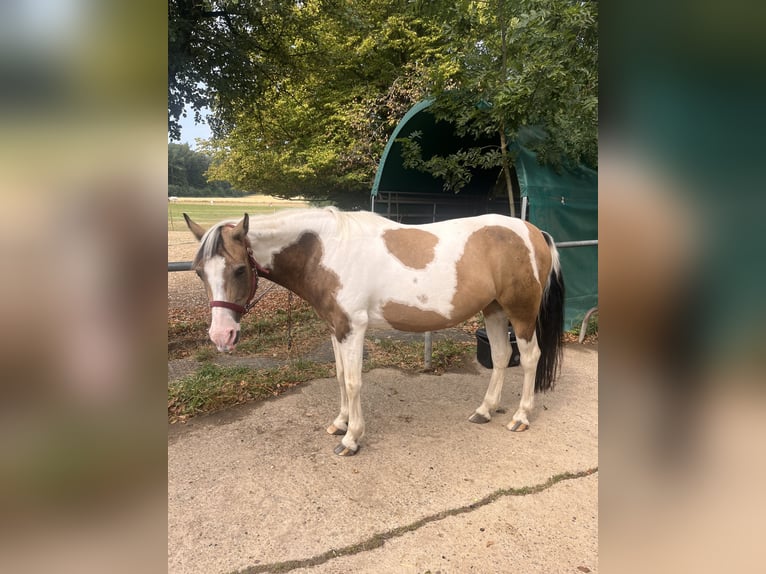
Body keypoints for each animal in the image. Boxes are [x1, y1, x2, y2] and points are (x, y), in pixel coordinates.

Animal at [183, 207, 565, 456]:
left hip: (520, 312)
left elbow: (353, 382)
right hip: (494, 310)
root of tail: (534, 232)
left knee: (529, 357)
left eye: (238, 269)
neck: (325, 250)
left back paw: (520, 417)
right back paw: (485, 410)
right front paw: (339, 423)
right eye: (199, 271)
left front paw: (351, 439)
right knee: (500, 356)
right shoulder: (336, 327)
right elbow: (340, 377)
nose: (221, 336)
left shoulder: (353, 328)